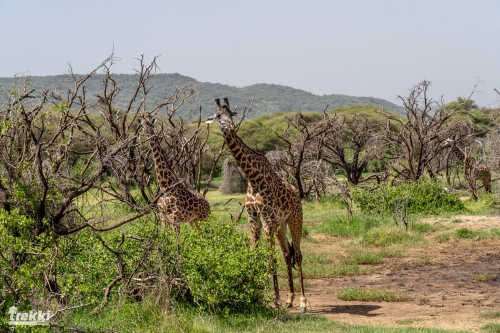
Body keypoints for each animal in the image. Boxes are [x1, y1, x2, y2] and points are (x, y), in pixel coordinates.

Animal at [205, 97, 306, 312]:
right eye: (218, 116)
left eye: (231, 114)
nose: (231, 127)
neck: (253, 177)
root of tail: (296, 193)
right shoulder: (254, 219)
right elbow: (257, 254)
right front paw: (254, 292)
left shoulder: (266, 221)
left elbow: (270, 257)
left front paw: (275, 300)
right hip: (281, 224)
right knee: (287, 253)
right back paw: (290, 299)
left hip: (295, 219)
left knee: (299, 254)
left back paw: (302, 302)